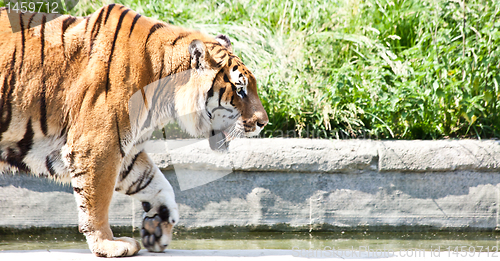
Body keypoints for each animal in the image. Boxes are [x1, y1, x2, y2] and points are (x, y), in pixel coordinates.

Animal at [0, 3, 270, 256]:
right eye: (240, 90)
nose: (263, 122)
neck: (163, 90)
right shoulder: (97, 145)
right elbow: (97, 201)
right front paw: (108, 245)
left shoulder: (125, 150)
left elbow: (155, 182)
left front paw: (158, 225)